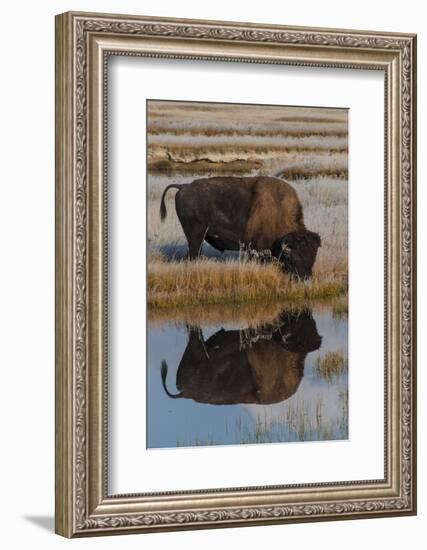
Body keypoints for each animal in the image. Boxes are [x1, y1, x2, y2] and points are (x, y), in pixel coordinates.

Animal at [160, 177, 320, 280]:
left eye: (313, 255)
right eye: (295, 256)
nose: (306, 278)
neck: (278, 211)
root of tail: (183, 186)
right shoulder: (258, 249)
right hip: (195, 236)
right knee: (193, 253)